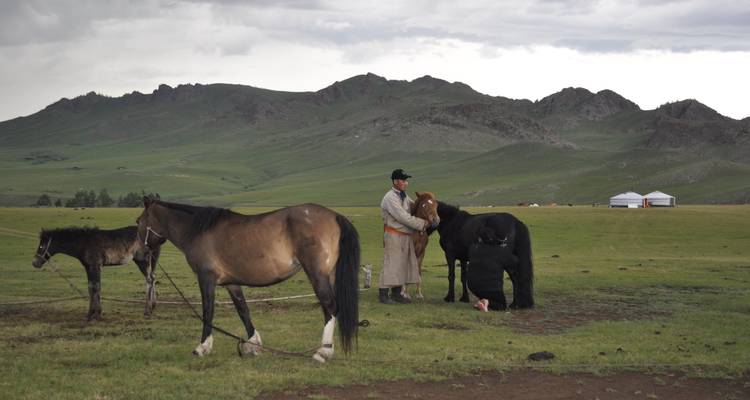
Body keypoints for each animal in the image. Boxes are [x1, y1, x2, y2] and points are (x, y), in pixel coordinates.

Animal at [32, 226, 161, 320]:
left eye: (42, 246)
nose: (35, 263)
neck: (84, 243)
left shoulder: (95, 267)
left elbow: (96, 287)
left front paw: (96, 314)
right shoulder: (89, 267)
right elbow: (91, 288)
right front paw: (91, 314)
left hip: (142, 261)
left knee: (149, 280)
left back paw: (147, 311)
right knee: (153, 278)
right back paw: (153, 306)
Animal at [136, 197, 360, 363]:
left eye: (138, 222)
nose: (139, 254)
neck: (198, 231)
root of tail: (335, 215)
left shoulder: (206, 278)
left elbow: (208, 311)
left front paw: (203, 347)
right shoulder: (232, 283)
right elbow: (243, 310)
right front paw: (253, 344)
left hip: (317, 275)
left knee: (330, 307)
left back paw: (323, 352)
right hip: (329, 276)